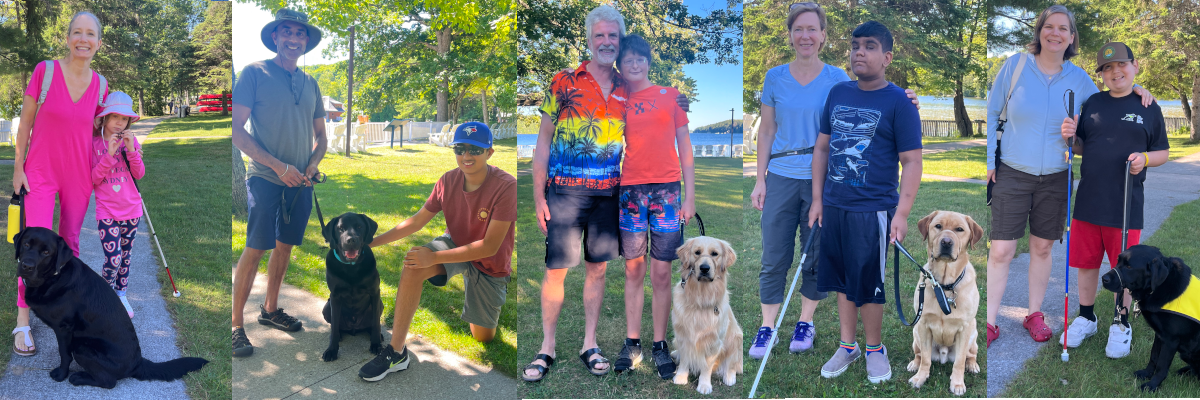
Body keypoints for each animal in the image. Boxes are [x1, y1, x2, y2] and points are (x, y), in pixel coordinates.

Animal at [15, 227, 207, 386]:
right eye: (26, 244)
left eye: (46, 252)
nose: (26, 266)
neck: (53, 278)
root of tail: (138, 362)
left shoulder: (64, 328)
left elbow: (64, 354)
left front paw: (61, 375)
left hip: (82, 348)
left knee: (109, 382)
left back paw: (79, 378)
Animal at [321, 211, 381, 360]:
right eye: (340, 228)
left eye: (359, 226)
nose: (351, 240)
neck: (351, 267)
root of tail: (354, 328)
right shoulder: (335, 296)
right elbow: (334, 326)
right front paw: (332, 349)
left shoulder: (375, 292)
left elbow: (376, 323)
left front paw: (376, 344)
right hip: (327, 307)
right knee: (336, 326)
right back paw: (340, 335)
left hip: (380, 304)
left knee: (372, 324)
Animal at [672, 235, 744, 393]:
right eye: (697, 252)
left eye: (714, 254)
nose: (704, 268)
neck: (701, 297)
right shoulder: (682, 336)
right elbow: (685, 359)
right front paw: (681, 377)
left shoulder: (714, 342)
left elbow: (706, 367)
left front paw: (704, 385)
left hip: (736, 338)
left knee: (731, 364)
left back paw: (729, 377)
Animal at [907, 210, 984, 393]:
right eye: (938, 226)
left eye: (959, 229)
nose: (946, 242)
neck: (944, 285)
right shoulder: (923, 325)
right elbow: (926, 359)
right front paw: (920, 378)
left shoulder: (965, 328)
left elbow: (959, 362)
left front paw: (957, 383)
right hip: (915, 333)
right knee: (919, 354)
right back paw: (914, 364)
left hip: (973, 334)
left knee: (970, 355)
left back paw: (972, 365)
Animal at [1104, 245, 1200, 391]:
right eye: (1118, 261)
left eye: (1129, 267)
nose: (1103, 279)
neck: (1160, 286)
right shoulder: (1159, 335)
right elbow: (1154, 356)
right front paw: (1146, 374)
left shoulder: (1170, 340)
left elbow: (1161, 365)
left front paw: (1152, 385)